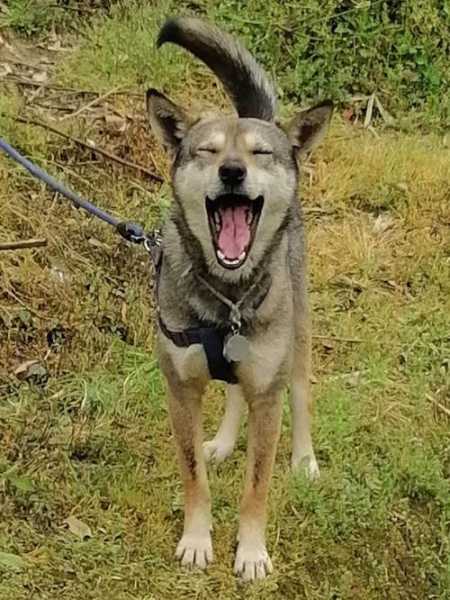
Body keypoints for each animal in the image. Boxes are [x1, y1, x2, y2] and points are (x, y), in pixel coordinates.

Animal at [146, 16, 332, 580]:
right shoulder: (181, 391)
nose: (232, 171)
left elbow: (257, 486)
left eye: (260, 153)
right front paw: (196, 540)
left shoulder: (268, 396)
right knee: (231, 391)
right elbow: (193, 475)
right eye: (206, 151)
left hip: (298, 335)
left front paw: (251, 552)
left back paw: (304, 461)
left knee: (301, 392)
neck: (226, 297)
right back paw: (226, 442)